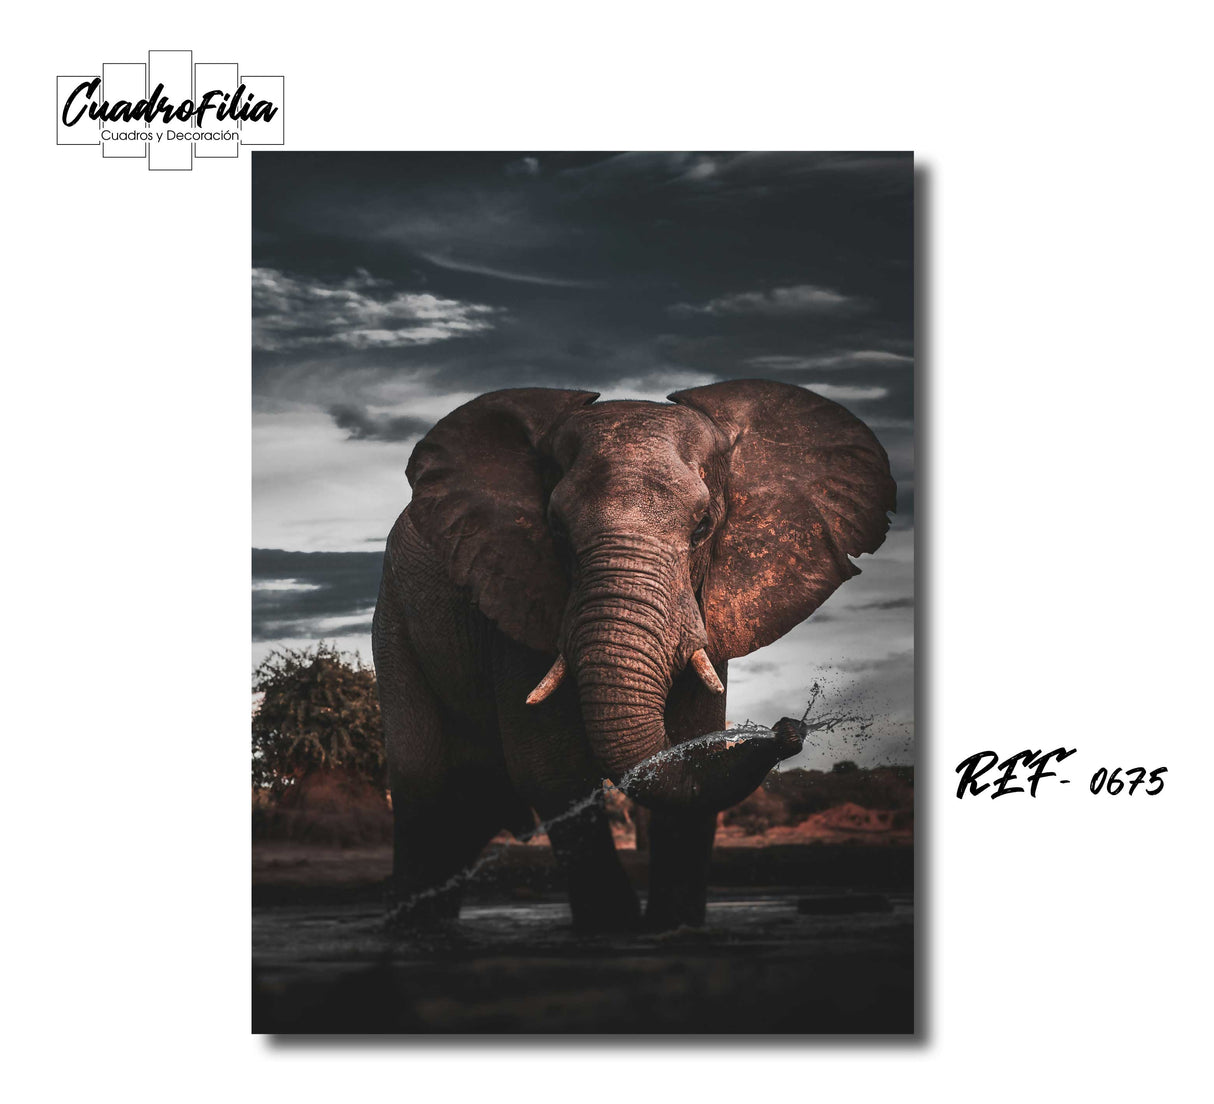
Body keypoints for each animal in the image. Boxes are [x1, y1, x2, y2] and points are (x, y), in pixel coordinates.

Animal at [372, 378, 895, 931]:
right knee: (423, 791)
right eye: (555, 528)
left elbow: (691, 745)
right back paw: (412, 931)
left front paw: (673, 928)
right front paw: (615, 930)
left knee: (473, 806)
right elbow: (552, 770)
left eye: (704, 525)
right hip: (395, 622)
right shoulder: (515, 596)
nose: (789, 729)